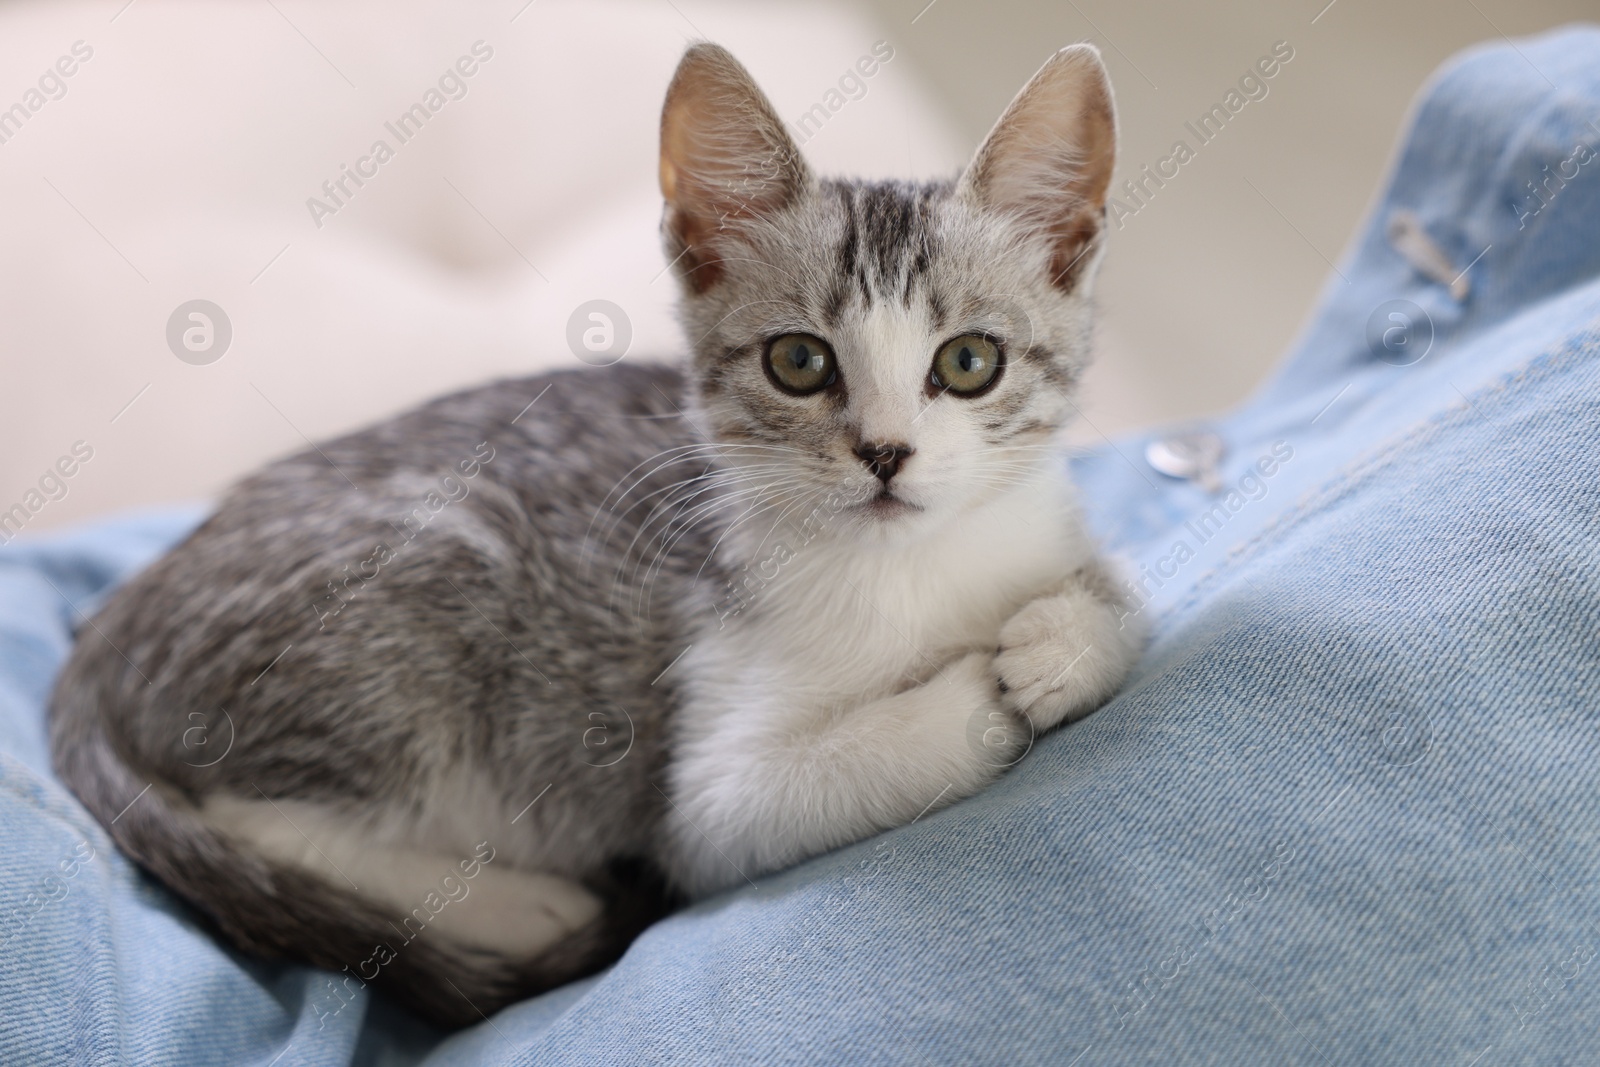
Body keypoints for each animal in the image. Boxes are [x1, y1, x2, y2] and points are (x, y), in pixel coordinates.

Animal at [46, 39, 1139, 1023]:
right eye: (798, 362)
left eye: (968, 362)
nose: (884, 452)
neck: (913, 567)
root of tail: (110, 629)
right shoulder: (707, 796)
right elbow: (797, 780)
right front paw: (979, 692)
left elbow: (1117, 599)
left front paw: (1064, 639)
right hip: (432, 573)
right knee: (246, 810)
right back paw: (513, 904)